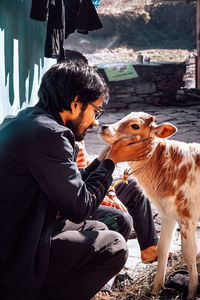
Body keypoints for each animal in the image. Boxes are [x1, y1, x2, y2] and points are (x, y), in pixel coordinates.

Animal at [99, 111, 200, 298]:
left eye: (135, 126)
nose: (104, 127)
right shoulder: (167, 213)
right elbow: (163, 248)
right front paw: (155, 290)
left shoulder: (187, 214)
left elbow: (189, 252)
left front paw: (191, 293)